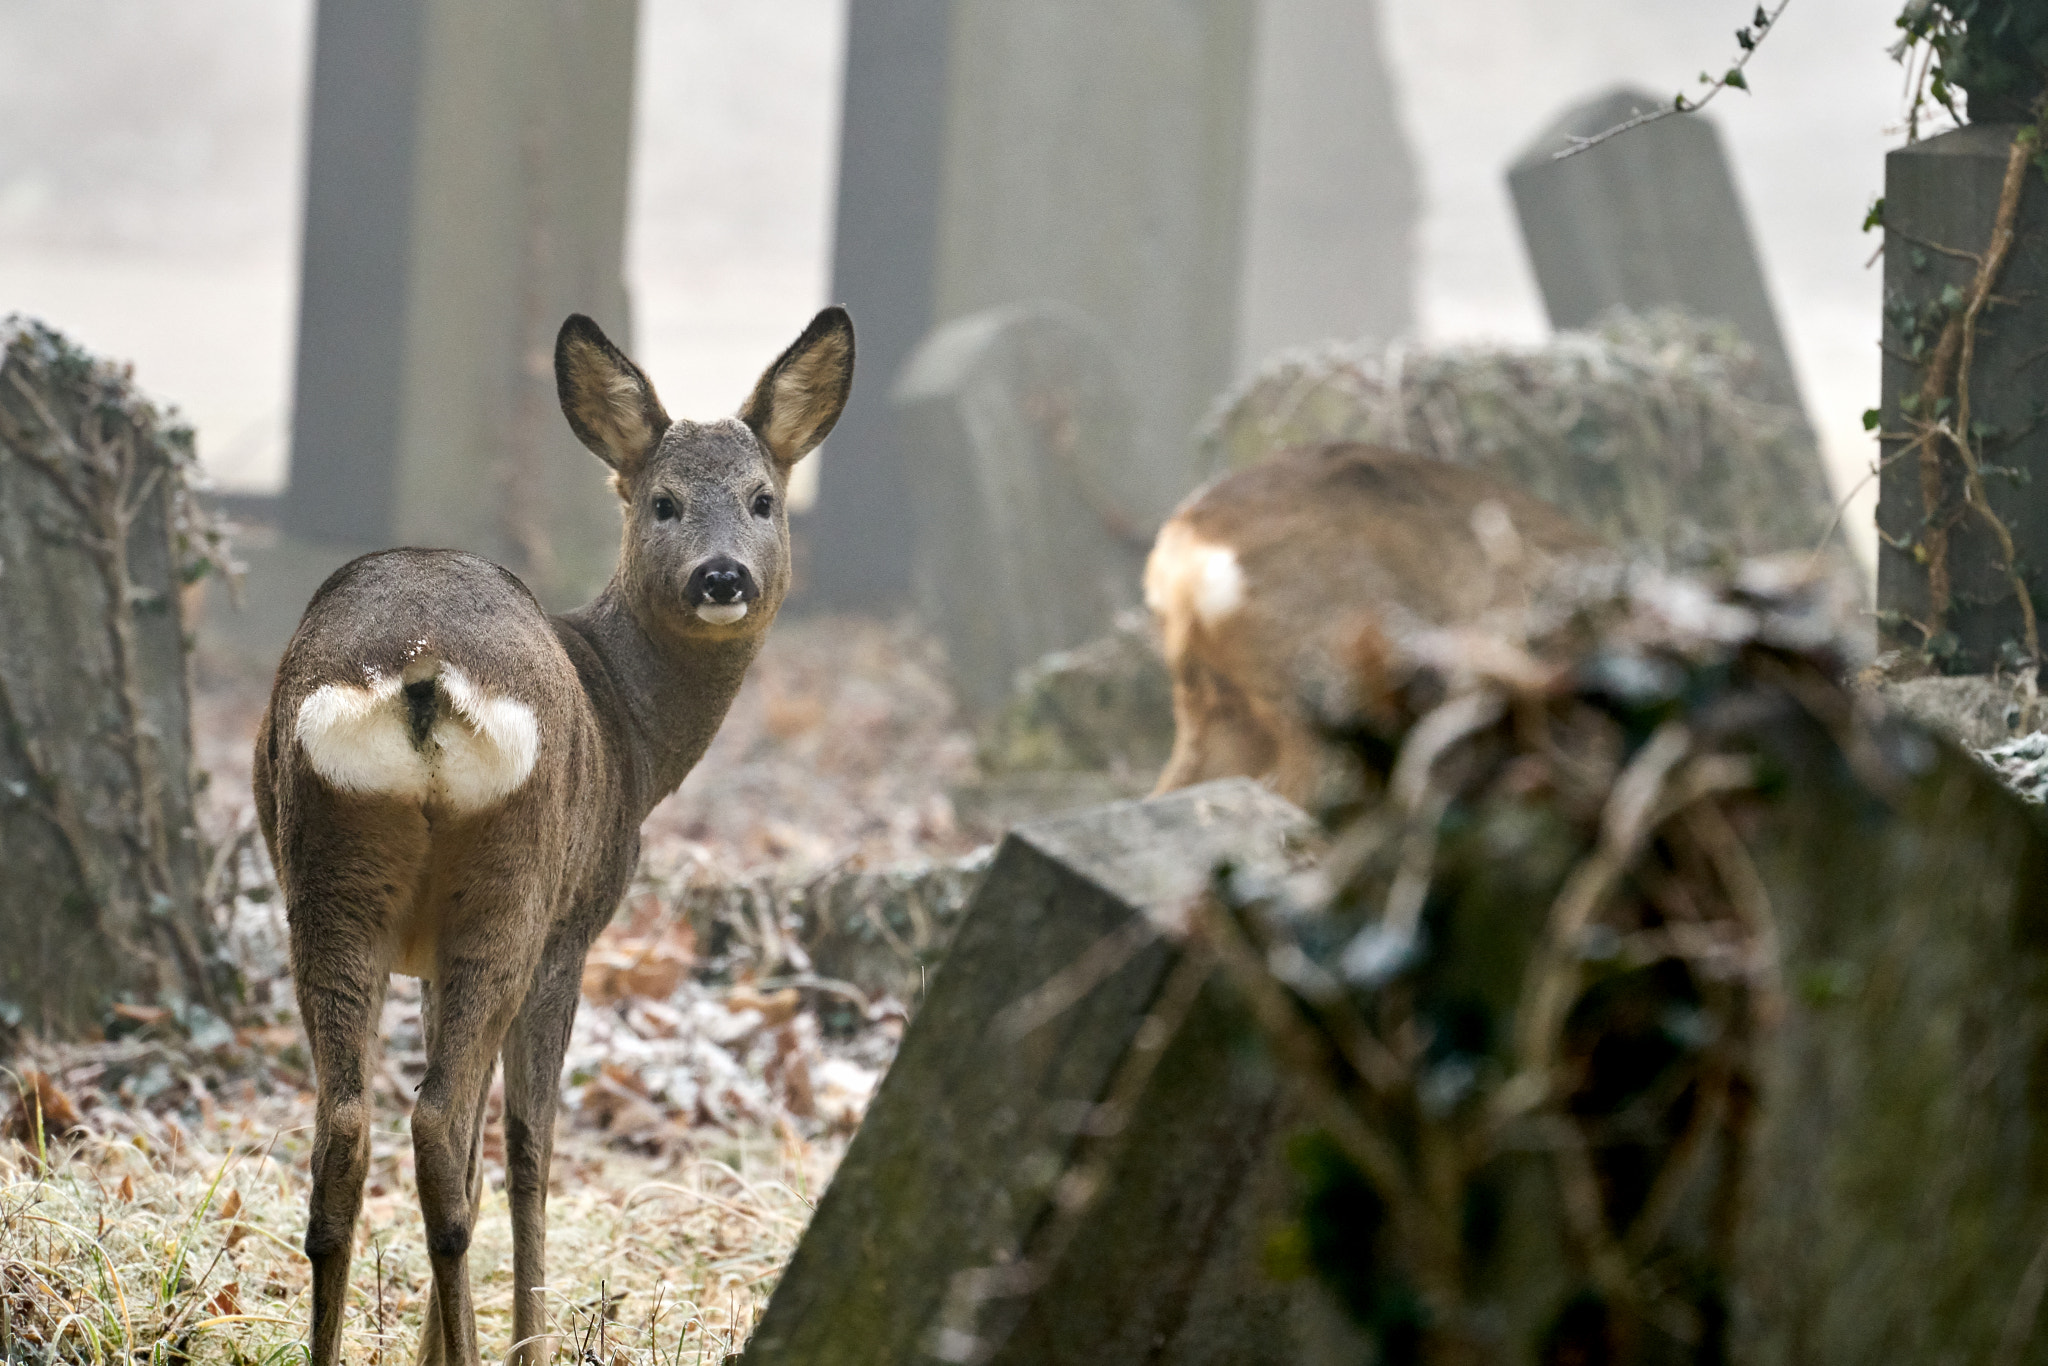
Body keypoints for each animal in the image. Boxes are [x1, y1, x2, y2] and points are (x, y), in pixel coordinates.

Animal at [251, 307, 851, 1366]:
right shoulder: (574, 930)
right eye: (662, 502)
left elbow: (475, 1152)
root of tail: (421, 672)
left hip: (333, 872)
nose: (723, 576)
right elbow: (529, 1147)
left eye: (763, 499)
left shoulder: (428, 951)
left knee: (352, 1129)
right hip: (516, 882)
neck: (631, 732)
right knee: (446, 1124)